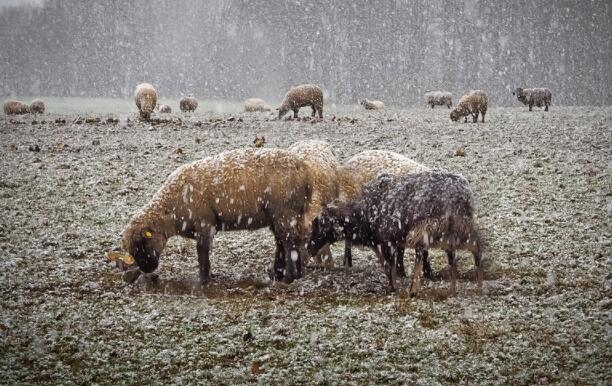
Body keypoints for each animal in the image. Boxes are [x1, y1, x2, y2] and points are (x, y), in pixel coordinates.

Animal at [122, 148, 318, 286]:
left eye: (142, 242)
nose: (147, 269)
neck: (170, 209)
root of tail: (306, 171)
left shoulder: (204, 224)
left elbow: (202, 254)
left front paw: (204, 280)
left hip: (285, 212)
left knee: (289, 243)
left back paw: (289, 278)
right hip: (277, 215)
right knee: (281, 242)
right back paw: (276, 273)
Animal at [310, 171, 482, 296]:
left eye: (322, 225)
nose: (309, 247)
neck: (365, 216)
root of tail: (464, 191)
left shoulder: (388, 241)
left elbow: (389, 265)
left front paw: (393, 287)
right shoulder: (385, 242)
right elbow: (388, 264)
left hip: (433, 228)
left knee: (474, 247)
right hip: (451, 230)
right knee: (453, 254)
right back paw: (453, 289)